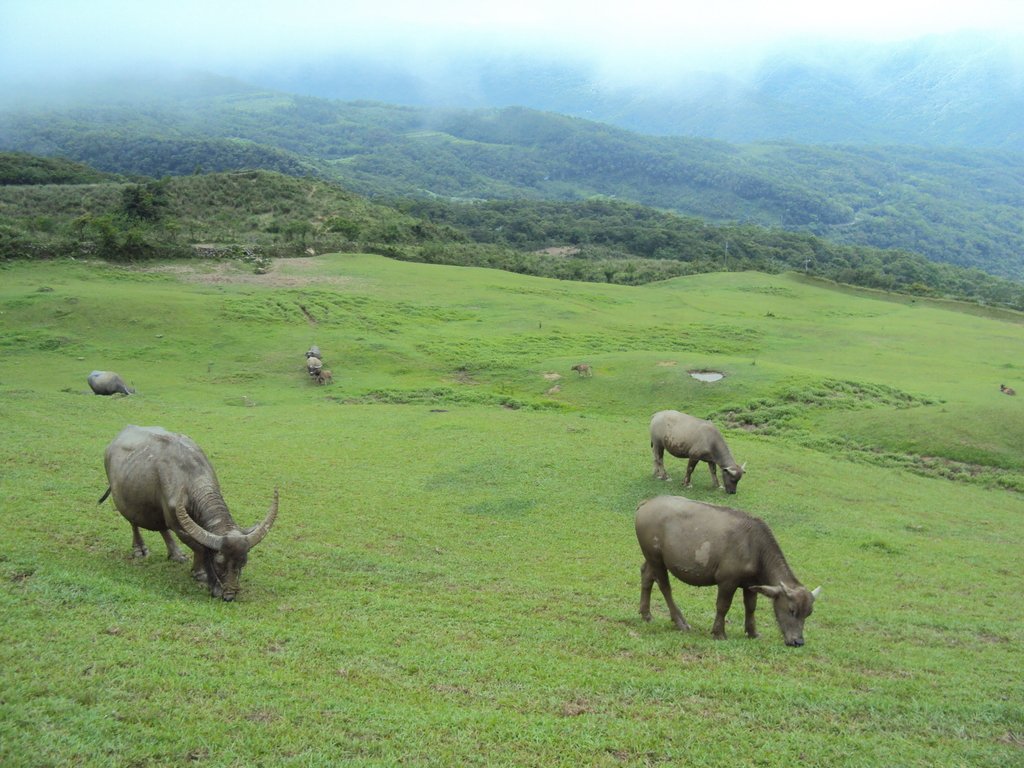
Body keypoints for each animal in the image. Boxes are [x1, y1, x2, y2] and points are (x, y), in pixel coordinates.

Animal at [98, 428, 278, 602]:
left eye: (243, 562)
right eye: (219, 563)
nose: (229, 595)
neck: (191, 477)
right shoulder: (178, 525)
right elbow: (200, 547)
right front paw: (201, 574)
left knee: (160, 525)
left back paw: (176, 554)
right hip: (125, 502)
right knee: (134, 523)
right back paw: (139, 549)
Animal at [634, 499, 819, 651]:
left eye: (808, 613)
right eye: (791, 610)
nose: (798, 642)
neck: (755, 548)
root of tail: (645, 504)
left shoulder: (750, 585)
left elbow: (751, 607)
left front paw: (753, 632)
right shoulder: (727, 581)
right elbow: (723, 606)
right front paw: (719, 633)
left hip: (652, 559)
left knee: (646, 575)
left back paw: (646, 614)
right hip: (656, 559)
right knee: (664, 586)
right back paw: (680, 622)